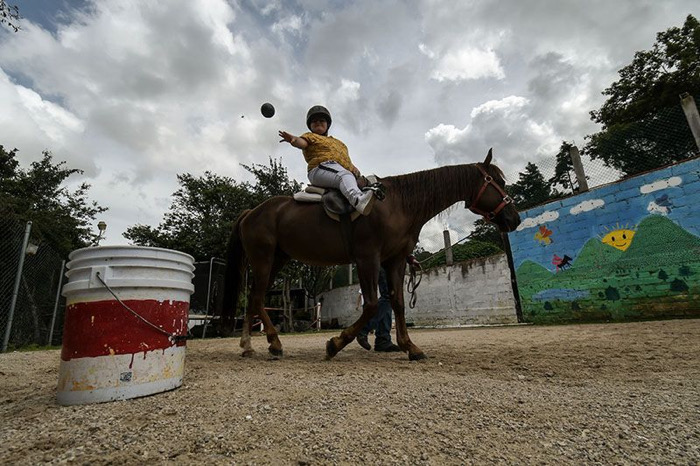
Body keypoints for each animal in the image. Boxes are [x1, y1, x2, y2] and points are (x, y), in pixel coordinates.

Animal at [221, 149, 524, 360]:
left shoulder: (395, 260)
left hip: (276, 260)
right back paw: (270, 343)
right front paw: (335, 343)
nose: (514, 218)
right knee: (257, 298)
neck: (398, 204)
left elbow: (398, 302)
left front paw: (409, 346)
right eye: (497, 181)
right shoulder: (368, 259)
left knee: (254, 299)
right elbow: (372, 305)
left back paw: (252, 346)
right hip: (263, 260)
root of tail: (252, 212)